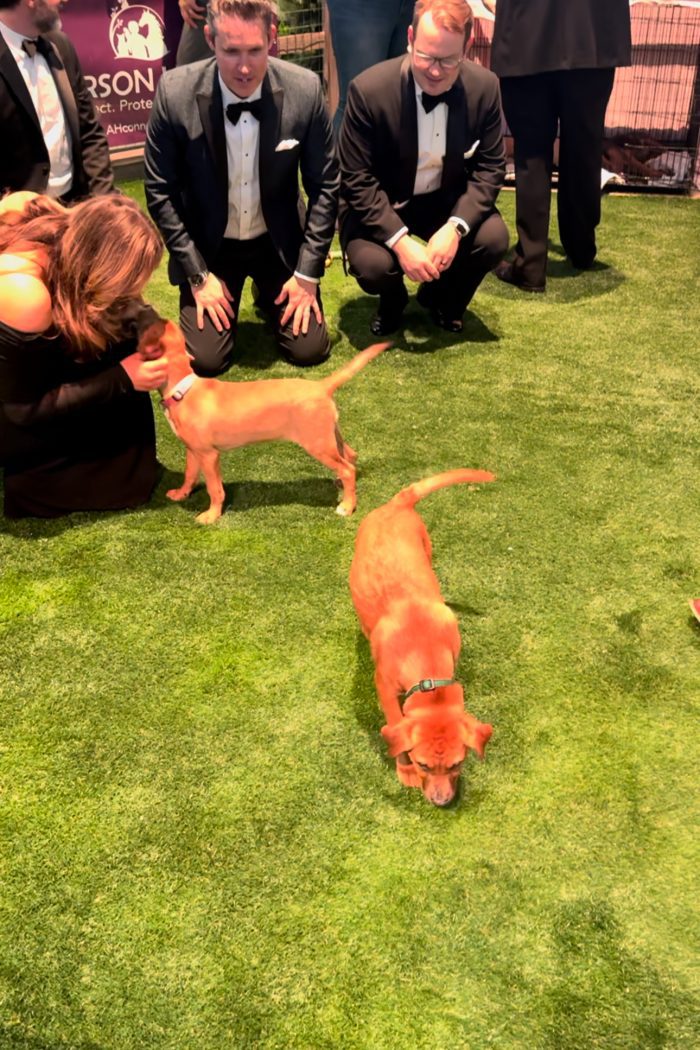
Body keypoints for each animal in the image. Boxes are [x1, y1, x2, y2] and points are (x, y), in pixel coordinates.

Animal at [138, 319, 389, 524]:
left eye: (151, 328)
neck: (184, 389)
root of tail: (322, 385)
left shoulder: (209, 455)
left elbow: (215, 489)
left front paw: (212, 515)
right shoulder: (193, 450)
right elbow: (190, 475)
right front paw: (181, 494)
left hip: (317, 443)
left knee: (348, 469)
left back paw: (347, 506)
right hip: (329, 436)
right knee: (351, 457)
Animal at [349, 470, 495, 806]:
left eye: (458, 763)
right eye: (422, 764)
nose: (442, 802)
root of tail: (397, 504)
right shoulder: (384, 687)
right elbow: (394, 726)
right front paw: (404, 772)